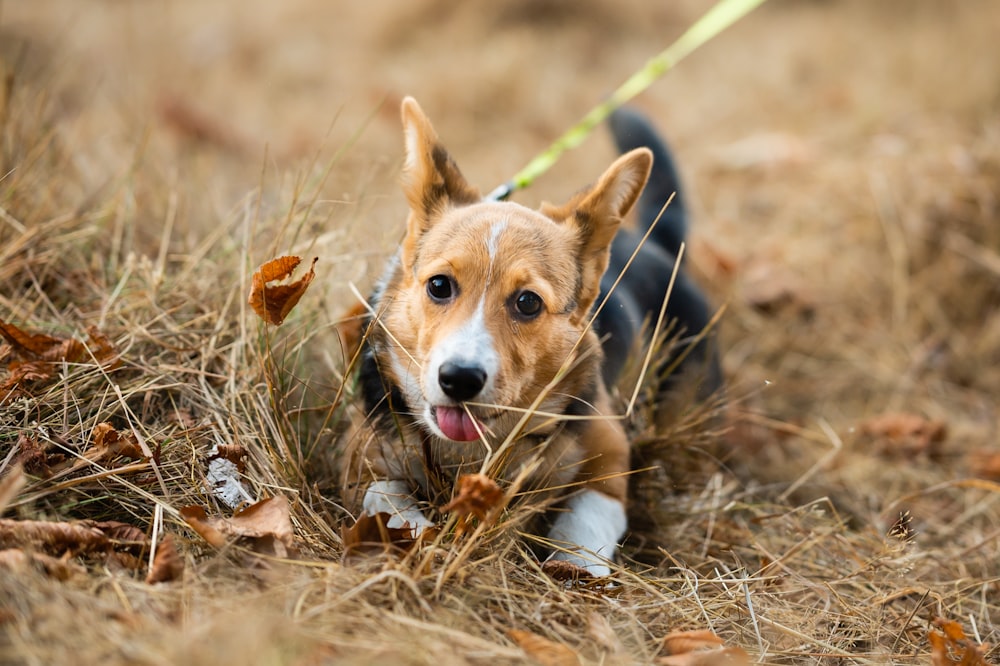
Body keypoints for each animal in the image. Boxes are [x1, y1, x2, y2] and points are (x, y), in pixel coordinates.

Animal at [342, 96, 720, 572]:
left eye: (528, 302)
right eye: (439, 285)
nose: (459, 379)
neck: (477, 445)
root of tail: (657, 246)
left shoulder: (611, 454)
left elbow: (587, 516)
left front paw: (577, 569)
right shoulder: (362, 459)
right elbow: (387, 502)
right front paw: (423, 539)